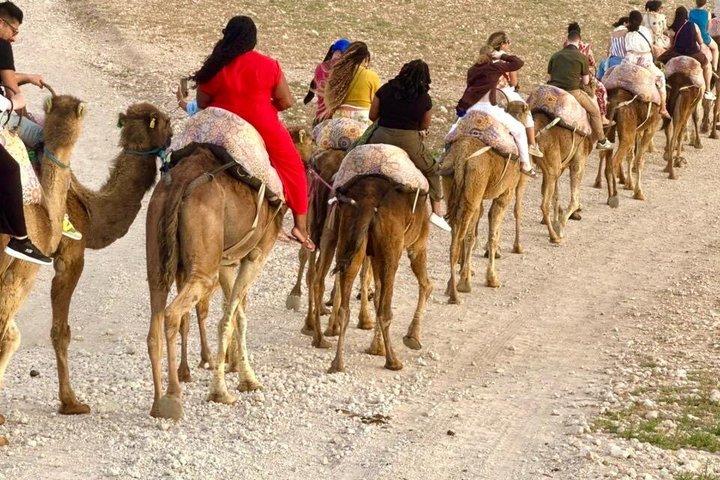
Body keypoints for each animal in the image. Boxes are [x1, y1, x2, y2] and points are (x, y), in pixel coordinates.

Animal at [48, 103, 172, 415]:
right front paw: (71, 402)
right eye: (167, 121)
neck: (90, 210)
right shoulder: (70, 254)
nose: (173, 136)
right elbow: (61, 330)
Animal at [146, 131, 311, 420]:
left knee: (155, 316)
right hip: (204, 266)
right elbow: (230, 318)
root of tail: (179, 183)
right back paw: (174, 396)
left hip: (158, 251)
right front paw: (225, 389)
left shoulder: (225, 261)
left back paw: (157, 403)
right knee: (172, 313)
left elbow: (235, 314)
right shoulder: (256, 254)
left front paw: (243, 377)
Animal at [328, 175, 431, 373]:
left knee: (345, 308)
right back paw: (393, 361)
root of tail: (368, 203)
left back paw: (337, 363)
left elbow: (376, 295)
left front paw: (376, 348)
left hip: (349, 240)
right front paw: (412, 337)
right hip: (392, 250)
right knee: (385, 310)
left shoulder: (374, 254)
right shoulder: (418, 245)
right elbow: (427, 285)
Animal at [443, 136, 524, 304]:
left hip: (451, 187)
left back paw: (451, 287)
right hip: (474, 190)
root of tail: (461, 157)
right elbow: (493, 234)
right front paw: (492, 279)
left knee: (456, 237)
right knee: (461, 238)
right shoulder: (505, 193)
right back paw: (459, 289)